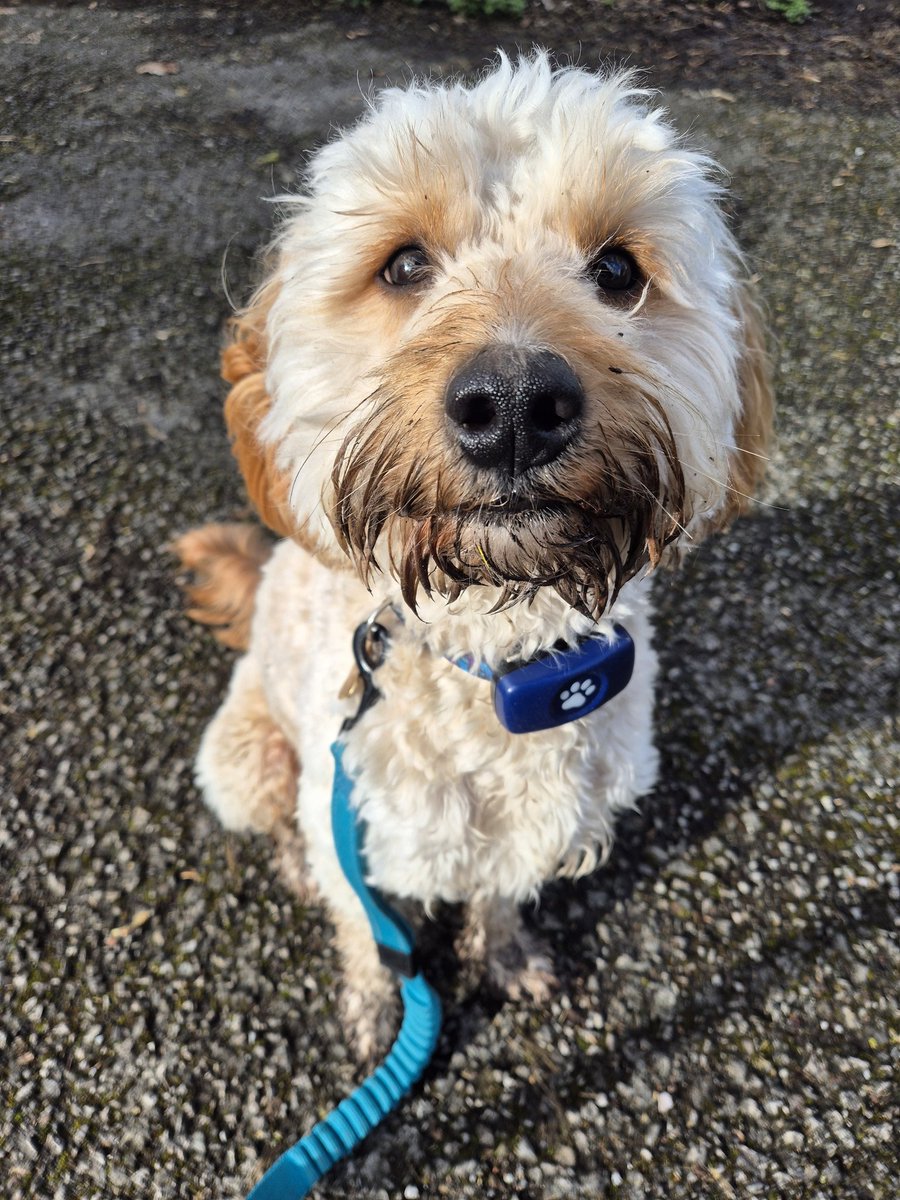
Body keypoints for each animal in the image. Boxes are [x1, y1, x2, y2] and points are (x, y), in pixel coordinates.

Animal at [176, 54, 777, 1060]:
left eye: (618, 269)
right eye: (403, 265)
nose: (516, 405)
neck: (497, 654)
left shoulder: (532, 825)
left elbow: (498, 894)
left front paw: (503, 955)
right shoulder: (356, 820)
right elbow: (362, 926)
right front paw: (375, 1003)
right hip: (247, 757)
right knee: (285, 831)